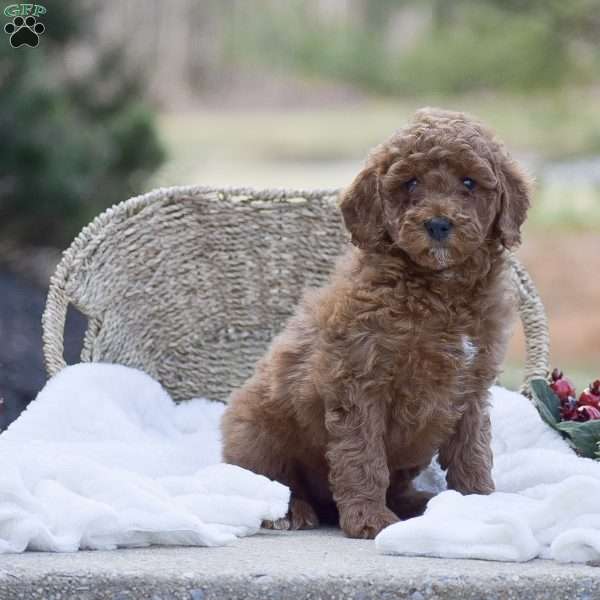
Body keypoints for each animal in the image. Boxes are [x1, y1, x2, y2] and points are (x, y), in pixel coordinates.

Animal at [223, 108, 532, 540]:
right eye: (411, 182)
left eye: (469, 182)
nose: (438, 224)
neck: (440, 290)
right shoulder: (359, 382)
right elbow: (363, 456)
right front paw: (369, 519)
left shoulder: (472, 385)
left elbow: (472, 450)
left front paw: (478, 504)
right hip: (256, 429)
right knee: (267, 480)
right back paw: (291, 510)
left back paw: (417, 503)